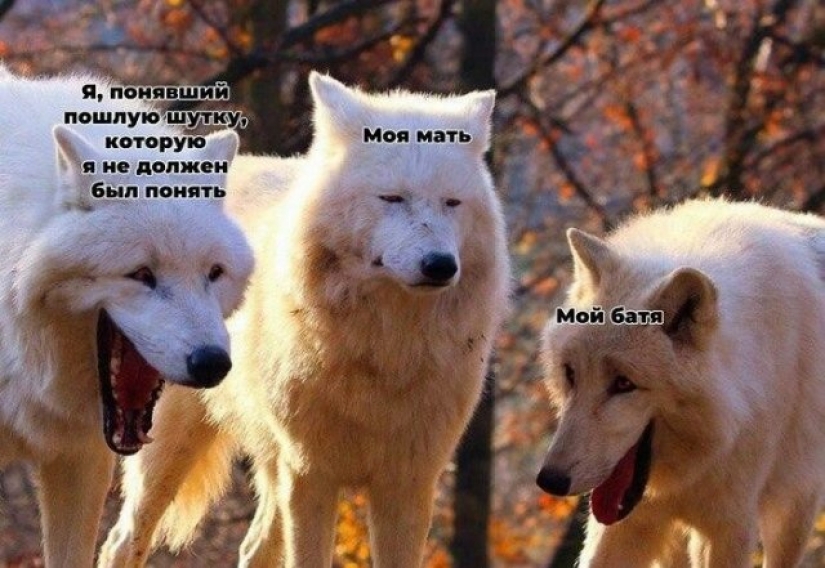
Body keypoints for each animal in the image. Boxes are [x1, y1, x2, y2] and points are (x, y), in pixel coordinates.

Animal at [99, 72, 511, 567]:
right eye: (392, 198)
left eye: (452, 203)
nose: (441, 266)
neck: (386, 348)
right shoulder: (310, 473)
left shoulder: (409, 482)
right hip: (171, 447)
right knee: (122, 542)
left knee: (254, 547)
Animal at [536, 199, 825, 567]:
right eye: (571, 374)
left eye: (624, 384)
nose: (550, 480)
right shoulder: (626, 522)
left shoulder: (728, 528)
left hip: (792, 513)